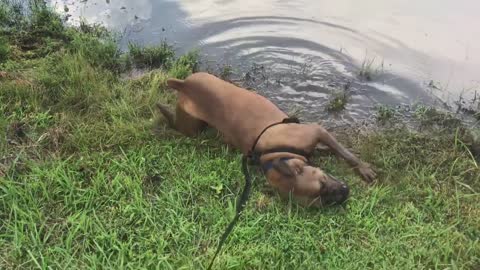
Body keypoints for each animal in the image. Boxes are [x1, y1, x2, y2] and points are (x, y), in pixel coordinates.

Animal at [157, 71, 376, 207]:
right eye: (319, 201)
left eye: (322, 182)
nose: (345, 192)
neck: (277, 154)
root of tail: (185, 85)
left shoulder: (317, 131)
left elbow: (345, 153)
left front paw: (362, 167)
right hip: (192, 126)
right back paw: (162, 111)